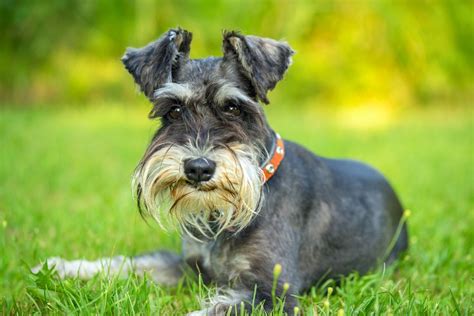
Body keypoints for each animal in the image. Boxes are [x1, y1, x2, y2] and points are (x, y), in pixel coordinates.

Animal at [35, 28, 410, 314]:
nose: (198, 168)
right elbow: (132, 263)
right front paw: (62, 267)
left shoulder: (272, 293)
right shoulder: (189, 267)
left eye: (233, 107)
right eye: (173, 110)